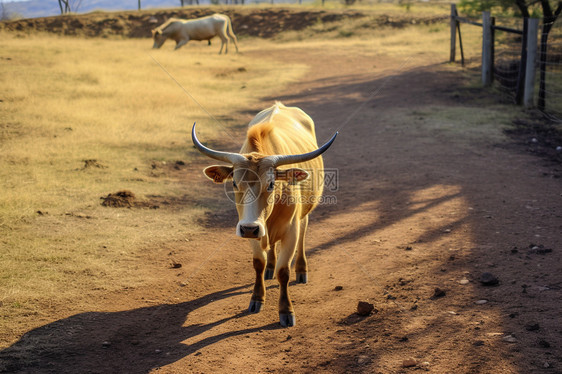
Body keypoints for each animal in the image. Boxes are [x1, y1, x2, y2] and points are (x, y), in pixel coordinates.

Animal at [191, 102, 336, 328]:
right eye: (234, 183)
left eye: (271, 184)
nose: (249, 228)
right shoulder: (251, 231)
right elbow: (258, 263)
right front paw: (257, 298)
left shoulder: (289, 231)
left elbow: (284, 272)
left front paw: (286, 310)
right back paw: (270, 267)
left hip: (304, 215)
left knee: (303, 233)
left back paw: (301, 269)